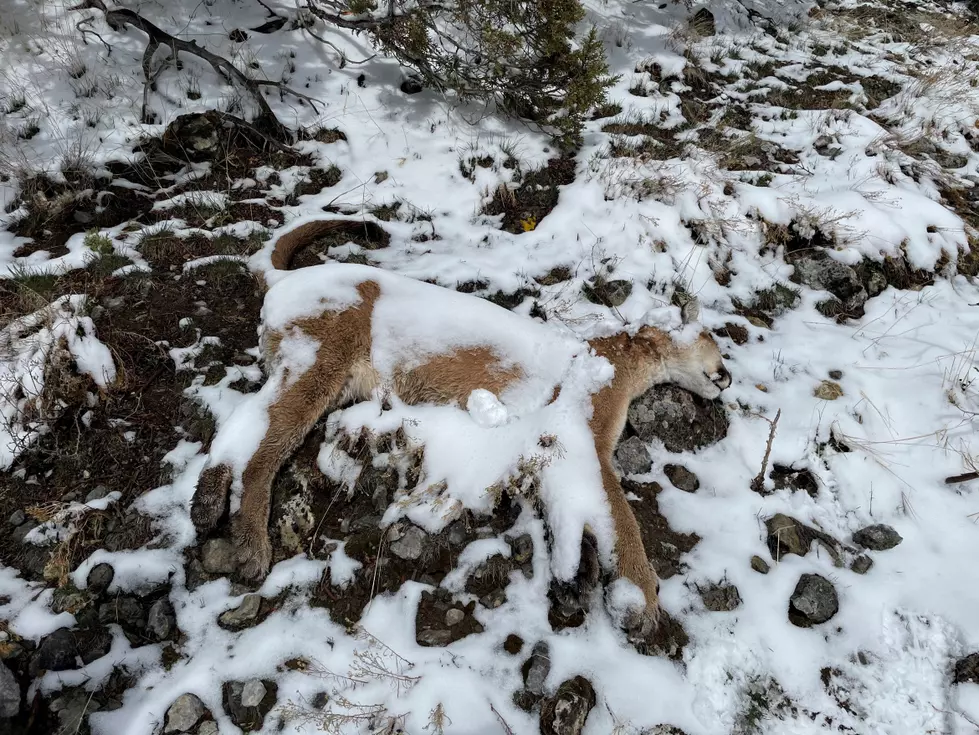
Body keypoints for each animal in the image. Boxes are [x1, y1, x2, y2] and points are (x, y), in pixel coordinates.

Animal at [191, 258, 732, 632]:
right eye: (713, 339)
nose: (727, 376)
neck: (617, 359)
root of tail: (286, 280)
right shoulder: (579, 440)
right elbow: (620, 515)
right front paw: (641, 598)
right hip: (321, 361)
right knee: (263, 448)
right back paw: (250, 545)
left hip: (318, 375)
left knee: (241, 427)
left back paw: (206, 504)